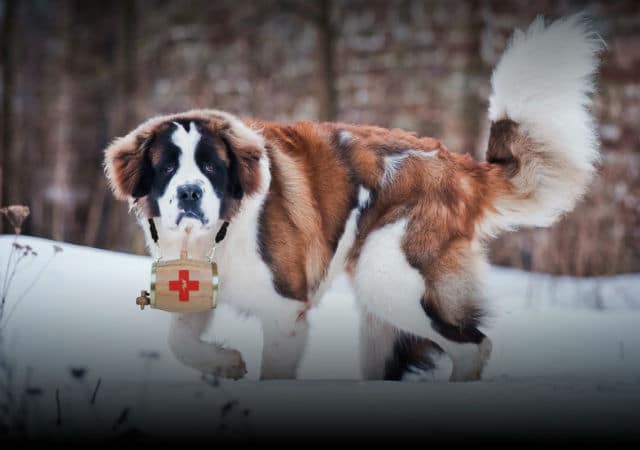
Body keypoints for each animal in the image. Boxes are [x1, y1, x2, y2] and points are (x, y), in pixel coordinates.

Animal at [104, 14, 600, 380]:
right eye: (167, 167)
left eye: (211, 166)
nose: (189, 193)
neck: (218, 234)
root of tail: (457, 164)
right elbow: (179, 342)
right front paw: (224, 363)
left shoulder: (286, 311)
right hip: (380, 310)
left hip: (390, 274)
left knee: (473, 346)